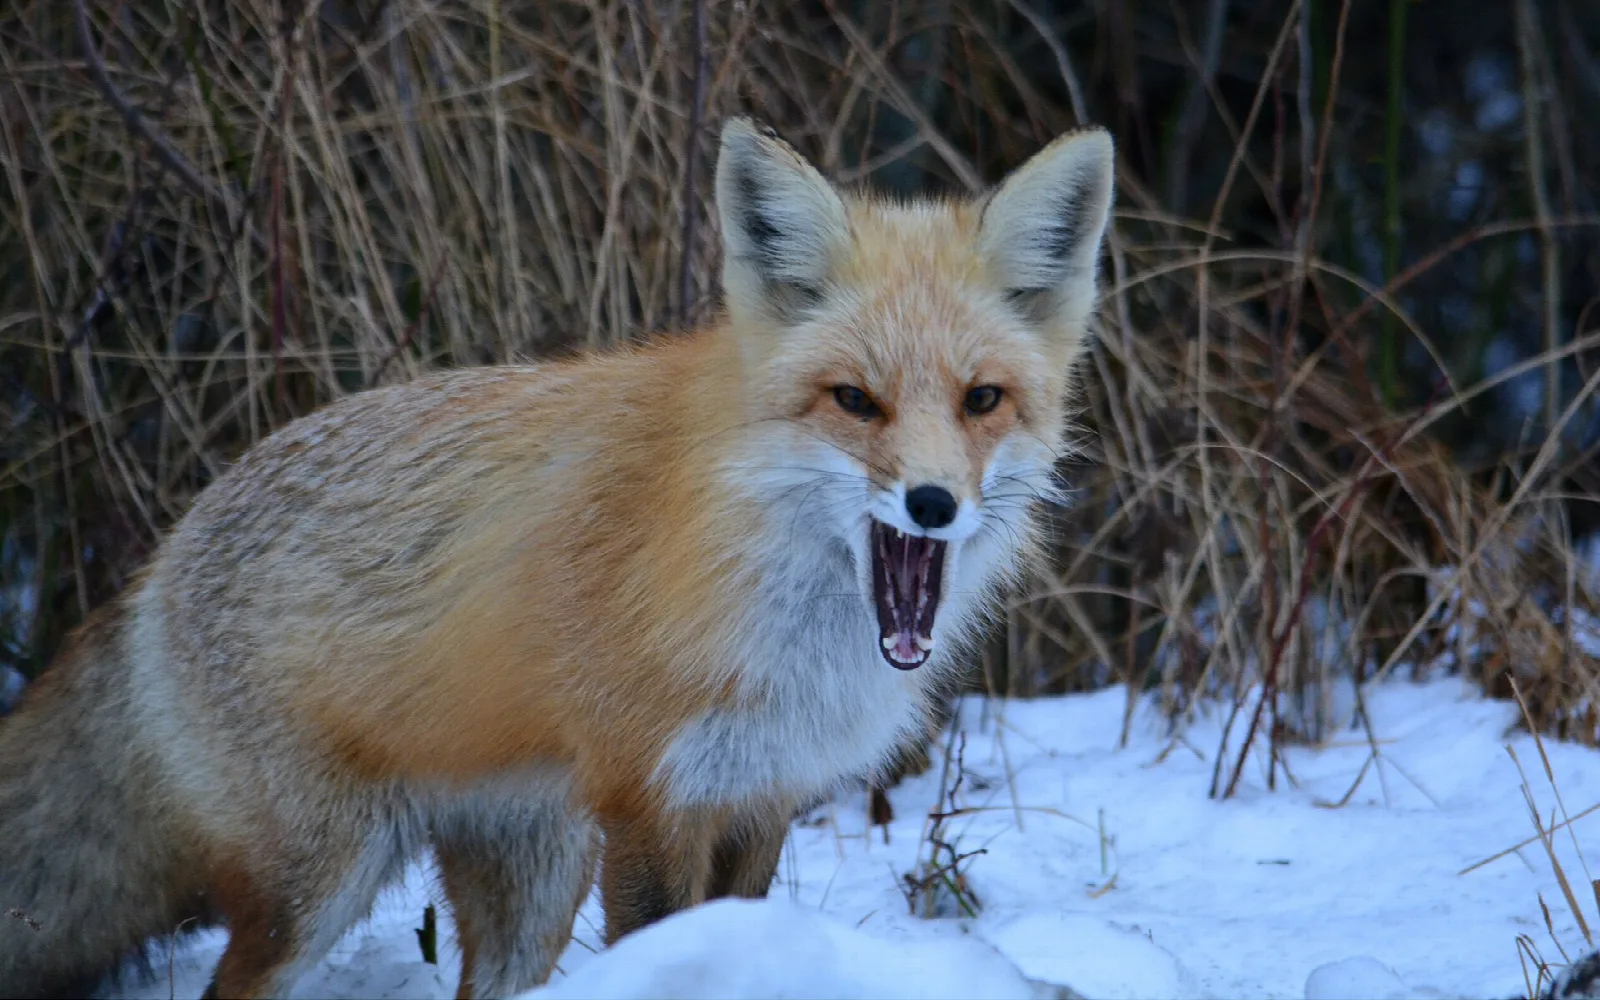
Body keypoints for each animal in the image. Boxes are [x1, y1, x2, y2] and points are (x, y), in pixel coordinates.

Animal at [0, 116, 1115, 999]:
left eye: (981, 399)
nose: (932, 504)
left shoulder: (761, 795)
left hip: (531, 882)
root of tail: (161, 556)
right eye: (855, 401)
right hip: (320, 885)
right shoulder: (651, 800)